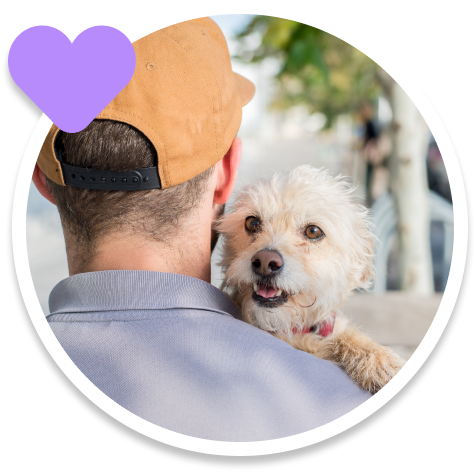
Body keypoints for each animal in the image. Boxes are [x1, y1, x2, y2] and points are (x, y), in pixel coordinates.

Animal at [216, 164, 406, 392]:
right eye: (252, 223)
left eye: (313, 231)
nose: (265, 262)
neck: (289, 329)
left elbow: (346, 336)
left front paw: (381, 360)